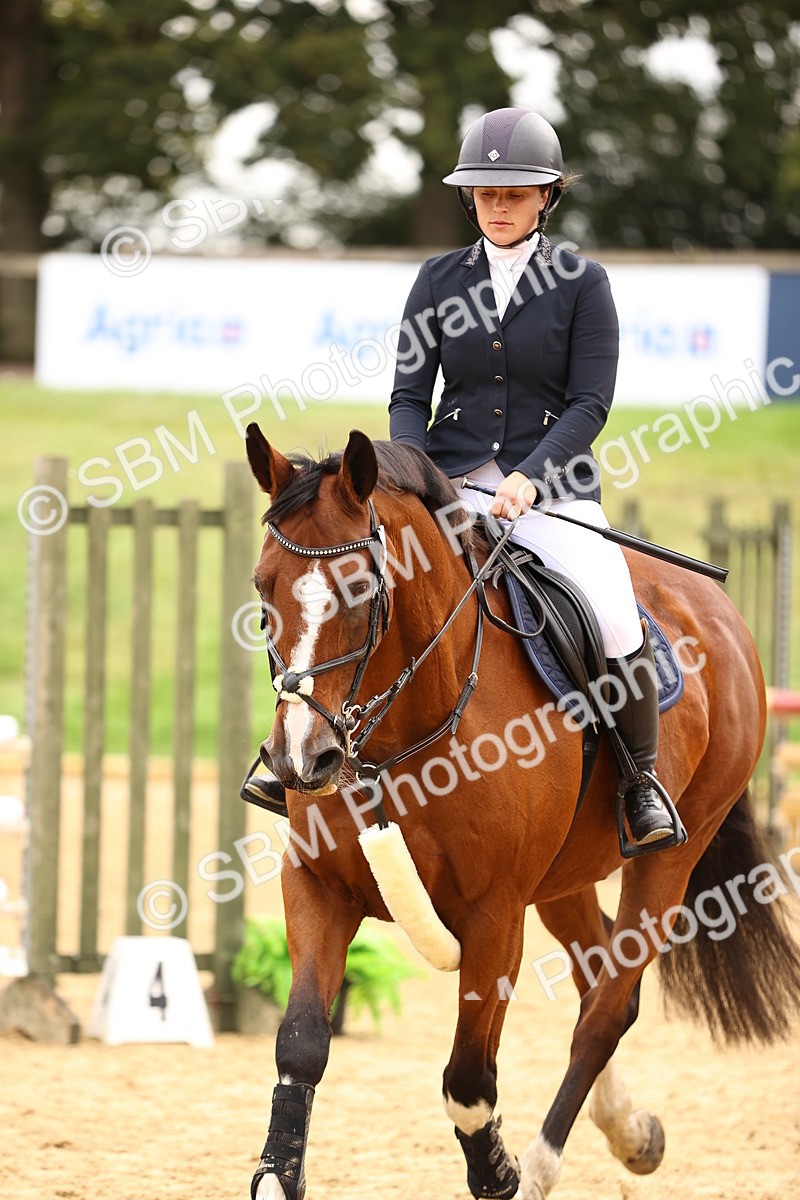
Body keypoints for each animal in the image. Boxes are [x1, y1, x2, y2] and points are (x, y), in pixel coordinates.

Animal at [243, 422, 800, 1200]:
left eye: (359, 589)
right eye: (263, 588)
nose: (299, 760)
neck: (405, 728)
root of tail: (717, 609)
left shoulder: (495, 917)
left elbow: (469, 1083)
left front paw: (500, 1171)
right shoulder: (320, 886)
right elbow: (300, 1045)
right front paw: (276, 1173)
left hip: (671, 858)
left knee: (606, 1008)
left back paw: (540, 1164)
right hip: (565, 877)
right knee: (600, 977)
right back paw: (631, 1131)